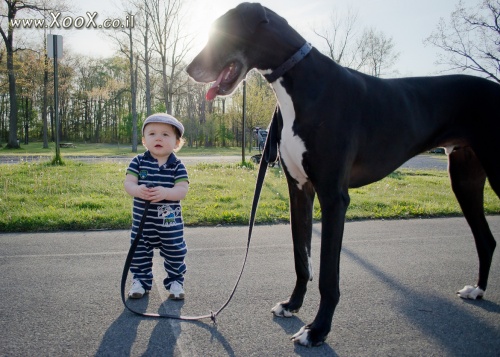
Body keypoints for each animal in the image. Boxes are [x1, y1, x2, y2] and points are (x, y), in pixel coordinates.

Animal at [186, 1, 498, 346]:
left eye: (221, 32)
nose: (189, 69)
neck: (300, 81)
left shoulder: (334, 197)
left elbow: (327, 274)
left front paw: (317, 330)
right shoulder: (299, 190)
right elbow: (301, 258)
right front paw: (292, 305)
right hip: (464, 179)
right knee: (486, 240)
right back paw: (478, 290)